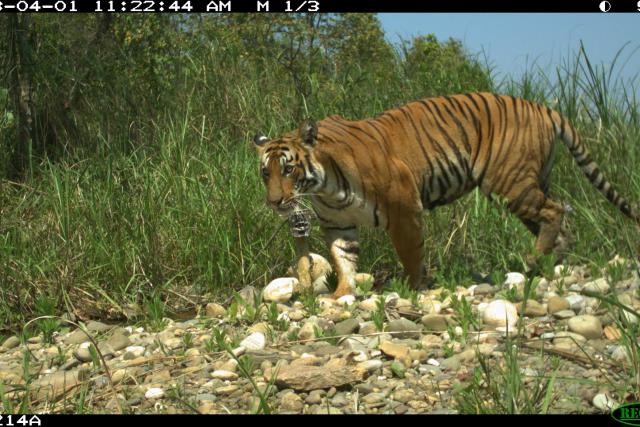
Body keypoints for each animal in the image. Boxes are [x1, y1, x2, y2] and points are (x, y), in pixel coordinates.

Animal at [252, 92, 639, 298]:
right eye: (265, 172)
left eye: (288, 170)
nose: (274, 202)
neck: (325, 187)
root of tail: (541, 106)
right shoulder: (339, 224)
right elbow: (342, 259)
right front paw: (341, 294)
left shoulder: (404, 207)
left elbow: (410, 252)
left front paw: (413, 287)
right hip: (531, 185)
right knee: (560, 221)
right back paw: (551, 265)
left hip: (510, 185)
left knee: (557, 211)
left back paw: (532, 264)